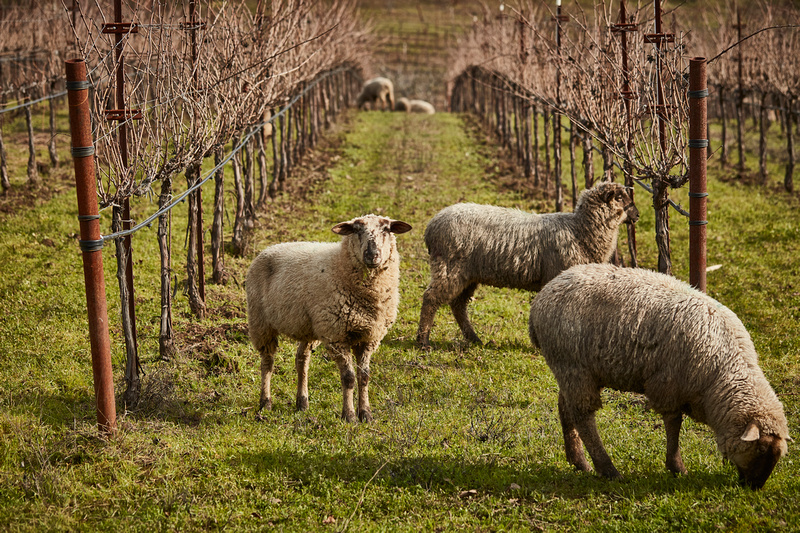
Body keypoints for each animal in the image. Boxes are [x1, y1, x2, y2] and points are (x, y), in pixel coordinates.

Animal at [246, 214, 412, 422]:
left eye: (386, 229)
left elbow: (364, 376)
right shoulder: (336, 336)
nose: (372, 255)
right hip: (261, 322)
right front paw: (349, 416)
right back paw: (265, 403)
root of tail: (270, 248)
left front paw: (366, 414)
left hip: (309, 328)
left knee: (302, 360)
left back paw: (302, 403)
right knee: (267, 362)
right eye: (356, 230)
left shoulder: (369, 337)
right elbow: (349, 377)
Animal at [415, 181, 639, 349]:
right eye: (620, 198)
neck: (579, 230)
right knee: (431, 299)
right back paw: (423, 341)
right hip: (449, 267)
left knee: (458, 305)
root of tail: (431, 226)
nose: (637, 215)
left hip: (468, 274)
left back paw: (474, 338)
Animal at [528, 263, 791, 489]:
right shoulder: (668, 385)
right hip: (573, 367)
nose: (754, 488)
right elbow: (673, 425)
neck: (721, 374)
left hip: (573, 370)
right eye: (760, 450)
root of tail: (543, 295)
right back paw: (608, 470)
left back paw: (578, 461)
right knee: (583, 417)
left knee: (566, 408)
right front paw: (677, 468)